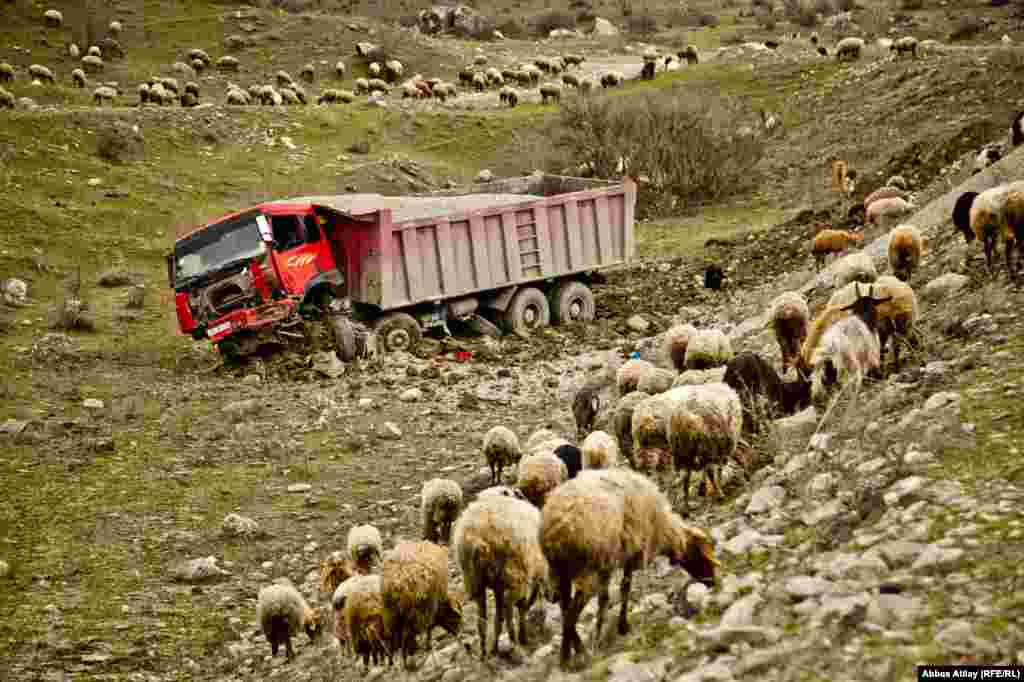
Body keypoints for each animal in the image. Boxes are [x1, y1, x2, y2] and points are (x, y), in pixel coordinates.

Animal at [456, 491, 552, 655]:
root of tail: (478, 537)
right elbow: (521, 606)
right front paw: (523, 636)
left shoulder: (498, 586)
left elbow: (499, 616)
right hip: (515, 573)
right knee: (509, 605)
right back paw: (514, 641)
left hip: (474, 580)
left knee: (482, 619)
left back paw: (485, 652)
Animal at [536, 466, 720, 663]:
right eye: (702, 557)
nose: (713, 583)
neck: (663, 528)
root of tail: (555, 525)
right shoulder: (631, 553)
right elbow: (624, 589)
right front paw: (621, 627)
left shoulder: (607, 565)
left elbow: (605, 599)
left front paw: (602, 634)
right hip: (585, 569)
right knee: (571, 614)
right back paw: (570, 658)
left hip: (561, 571)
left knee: (565, 609)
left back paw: (576, 650)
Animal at [663, 378, 745, 507]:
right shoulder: (720, 444)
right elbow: (716, 468)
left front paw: (703, 488)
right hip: (707, 444)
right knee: (710, 469)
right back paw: (719, 493)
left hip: (685, 451)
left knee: (687, 475)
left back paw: (687, 503)